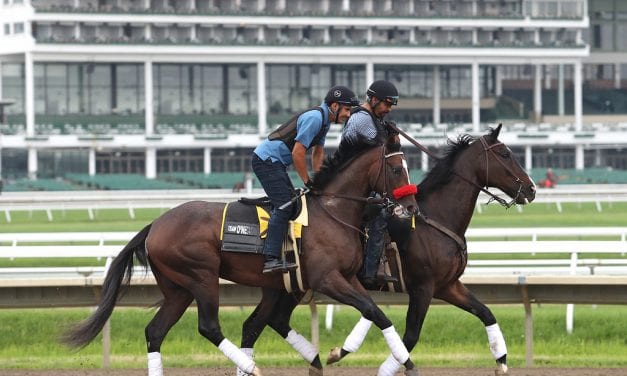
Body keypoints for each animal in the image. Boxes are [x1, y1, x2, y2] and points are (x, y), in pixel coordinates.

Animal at [63, 138, 422, 376]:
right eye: (396, 168)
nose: (411, 208)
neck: (332, 212)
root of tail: (156, 225)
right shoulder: (328, 279)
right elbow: (375, 312)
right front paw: (401, 362)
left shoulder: (342, 278)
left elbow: (375, 311)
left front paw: (400, 361)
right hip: (201, 276)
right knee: (208, 326)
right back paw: (250, 365)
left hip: (178, 289)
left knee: (155, 332)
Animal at [238, 125, 536, 374]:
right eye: (506, 154)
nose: (531, 189)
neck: (435, 218)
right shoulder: (423, 286)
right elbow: (411, 335)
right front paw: (386, 365)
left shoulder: (447, 285)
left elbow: (486, 313)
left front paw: (501, 361)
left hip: (291, 285)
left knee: (264, 323)